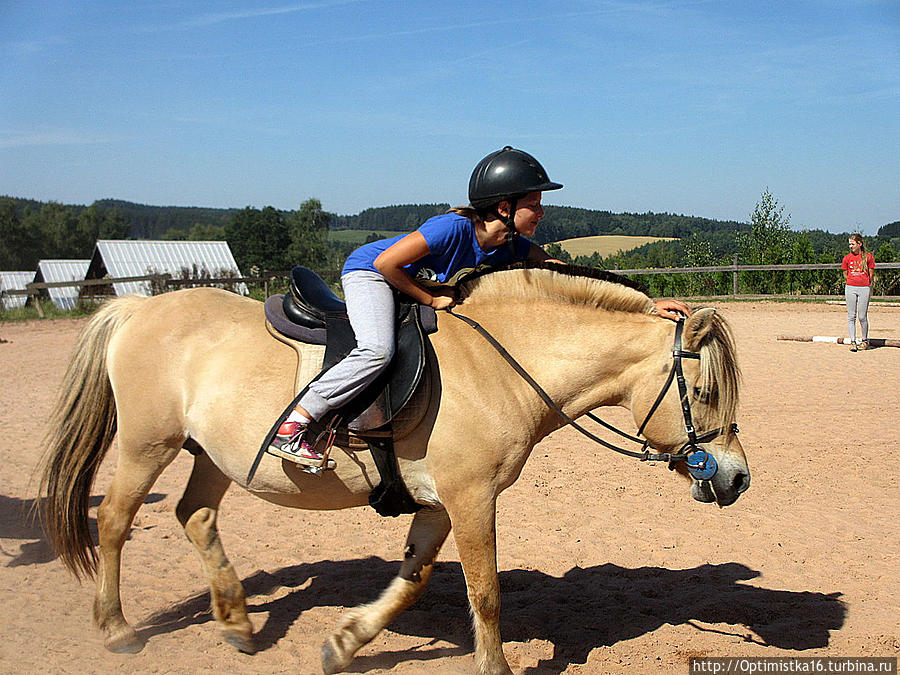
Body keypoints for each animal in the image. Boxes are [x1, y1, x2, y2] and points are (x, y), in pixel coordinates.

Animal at [38, 264, 748, 675]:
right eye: (706, 391)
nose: (737, 478)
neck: (501, 363)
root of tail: (137, 309)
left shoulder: (439, 504)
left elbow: (412, 583)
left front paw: (344, 644)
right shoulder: (471, 497)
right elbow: (486, 595)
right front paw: (494, 668)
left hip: (211, 455)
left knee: (196, 516)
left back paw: (237, 624)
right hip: (147, 446)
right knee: (115, 523)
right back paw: (118, 631)